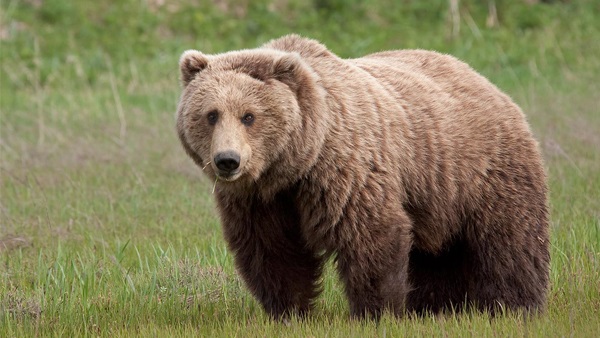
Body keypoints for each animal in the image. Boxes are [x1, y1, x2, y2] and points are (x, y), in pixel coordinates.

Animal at [173, 34, 548, 320]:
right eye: (211, 114)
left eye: (249, 116)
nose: (227, 161)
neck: (295, 165)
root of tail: (483, 80)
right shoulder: (260, 201)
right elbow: (273, 250)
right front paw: (288, 311)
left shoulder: (345, 173)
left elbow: (369, 235)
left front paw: (376, 311)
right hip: (435, 192)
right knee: (437, 254)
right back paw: (435, 307)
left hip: (482, 171)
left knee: (509, 240)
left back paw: (514, 305)